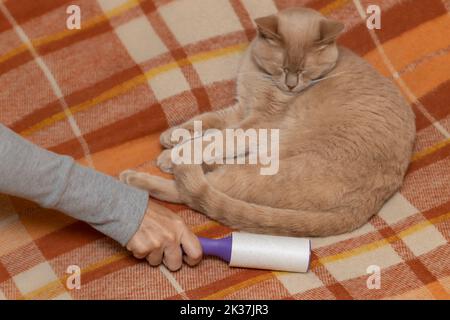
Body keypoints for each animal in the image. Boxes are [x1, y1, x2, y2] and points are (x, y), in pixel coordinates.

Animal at [119, 7, 414, 236]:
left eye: (305, 72)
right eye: (283, 68)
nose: (292, 85)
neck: (260, 77)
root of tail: (365, 206)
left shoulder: (259, 122)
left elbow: (215, 139)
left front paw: (172, 155)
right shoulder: (240, 108)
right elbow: (206, 122)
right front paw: (174, 135)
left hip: (261, 167)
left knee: (191, 191)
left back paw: (138, 177)